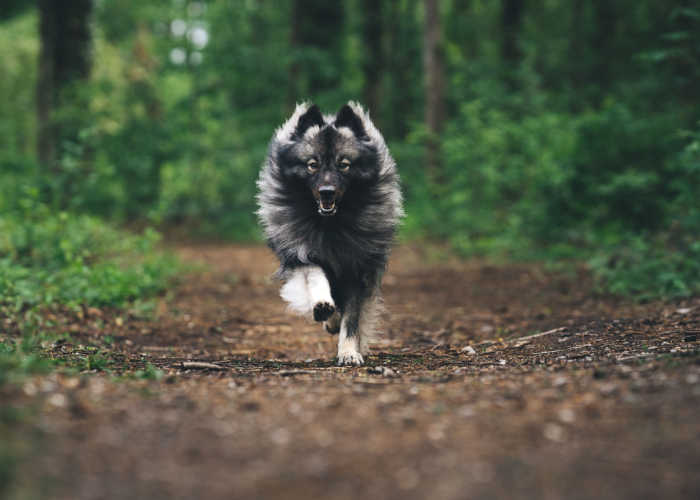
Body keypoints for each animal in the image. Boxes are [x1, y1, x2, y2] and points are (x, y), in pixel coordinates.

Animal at [258, 102, 402, 368]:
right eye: (312, 164)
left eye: (343, 164)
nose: (327, 191)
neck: (330, 225)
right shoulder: (301, 254)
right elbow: (315, 276)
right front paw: (323, 305)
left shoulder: (356, 269)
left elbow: (352, 320)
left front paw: (349, 352)